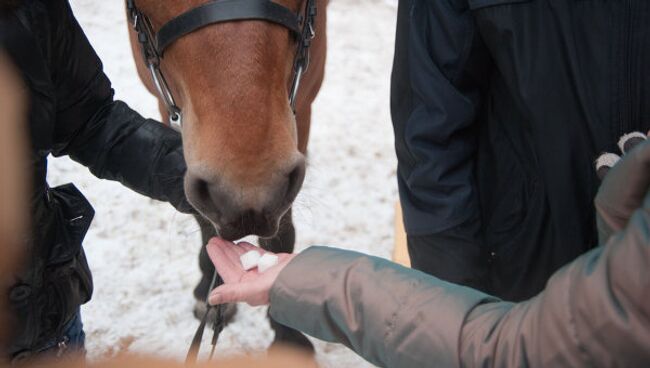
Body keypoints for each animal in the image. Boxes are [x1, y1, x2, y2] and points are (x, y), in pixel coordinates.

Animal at [126, 0, 326, 350]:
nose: (248, 193)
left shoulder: (302, 99)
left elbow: (282, 229)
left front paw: (287, 334)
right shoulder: (169, 106)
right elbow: (202, 218)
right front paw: (209, 283)